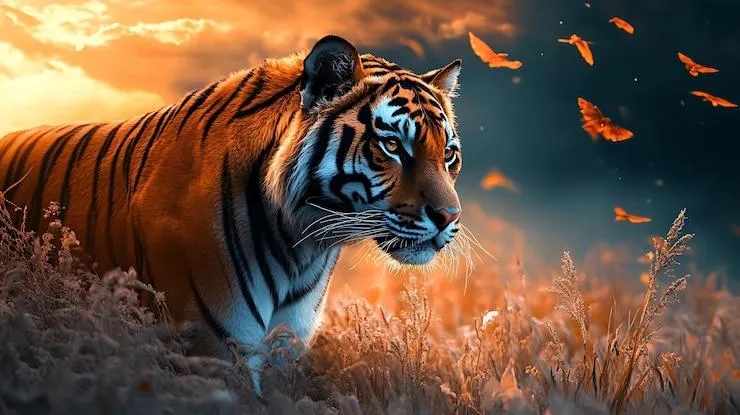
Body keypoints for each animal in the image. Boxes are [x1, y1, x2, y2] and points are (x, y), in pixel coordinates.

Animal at [0, 35, 464, 393]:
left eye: (448, 154)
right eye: (393, 146)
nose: (449, 217)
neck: (303, 243)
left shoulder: (285, 346)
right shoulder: (215, 344)